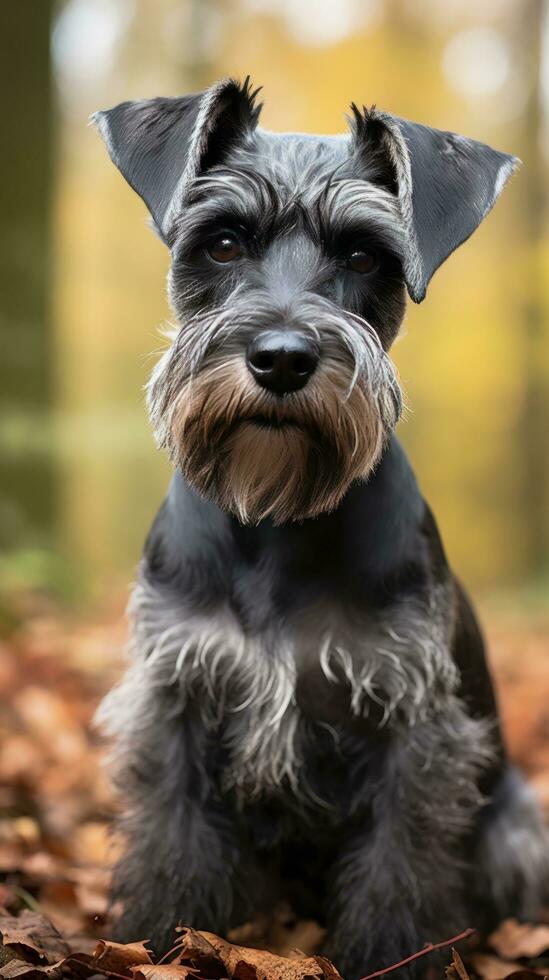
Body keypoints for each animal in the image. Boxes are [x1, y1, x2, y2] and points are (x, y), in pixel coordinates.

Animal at [94, 80, 548, 976]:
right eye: (223, 242)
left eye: (366, 256)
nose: (281, 357)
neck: (277, 519)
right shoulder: (176, 694)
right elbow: (172, 842)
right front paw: (157, 937)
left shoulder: (411, 721)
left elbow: (399, 865)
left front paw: (395, 954)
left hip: (517, 826)